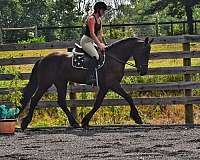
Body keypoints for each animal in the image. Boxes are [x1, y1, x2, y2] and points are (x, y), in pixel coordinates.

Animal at [19, 36, 153, 130]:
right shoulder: (112, 84)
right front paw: (137, 117)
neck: (114, 58)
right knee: (34, 99)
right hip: (45, 83)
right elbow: (126, 97)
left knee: (61, 102)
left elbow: (99, 103)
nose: (144, 71)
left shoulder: (106, 86)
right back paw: (25, 123)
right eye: (144, 52)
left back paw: (74, 123)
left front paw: (85, 121)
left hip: (60, 82)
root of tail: (43, 59)